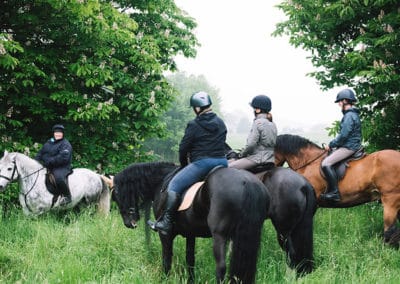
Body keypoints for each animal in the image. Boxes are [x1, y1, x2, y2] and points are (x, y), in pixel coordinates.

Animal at [111, 162, 268, 284]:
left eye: (117, 194)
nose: (128, 223)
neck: (161, 182)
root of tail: (247, 181)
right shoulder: (191, 233)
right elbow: (190, 260)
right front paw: (190, 280)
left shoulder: (165, 234)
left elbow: (166, 259)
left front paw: (163, 279)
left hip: (220, 236)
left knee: (221, 267)